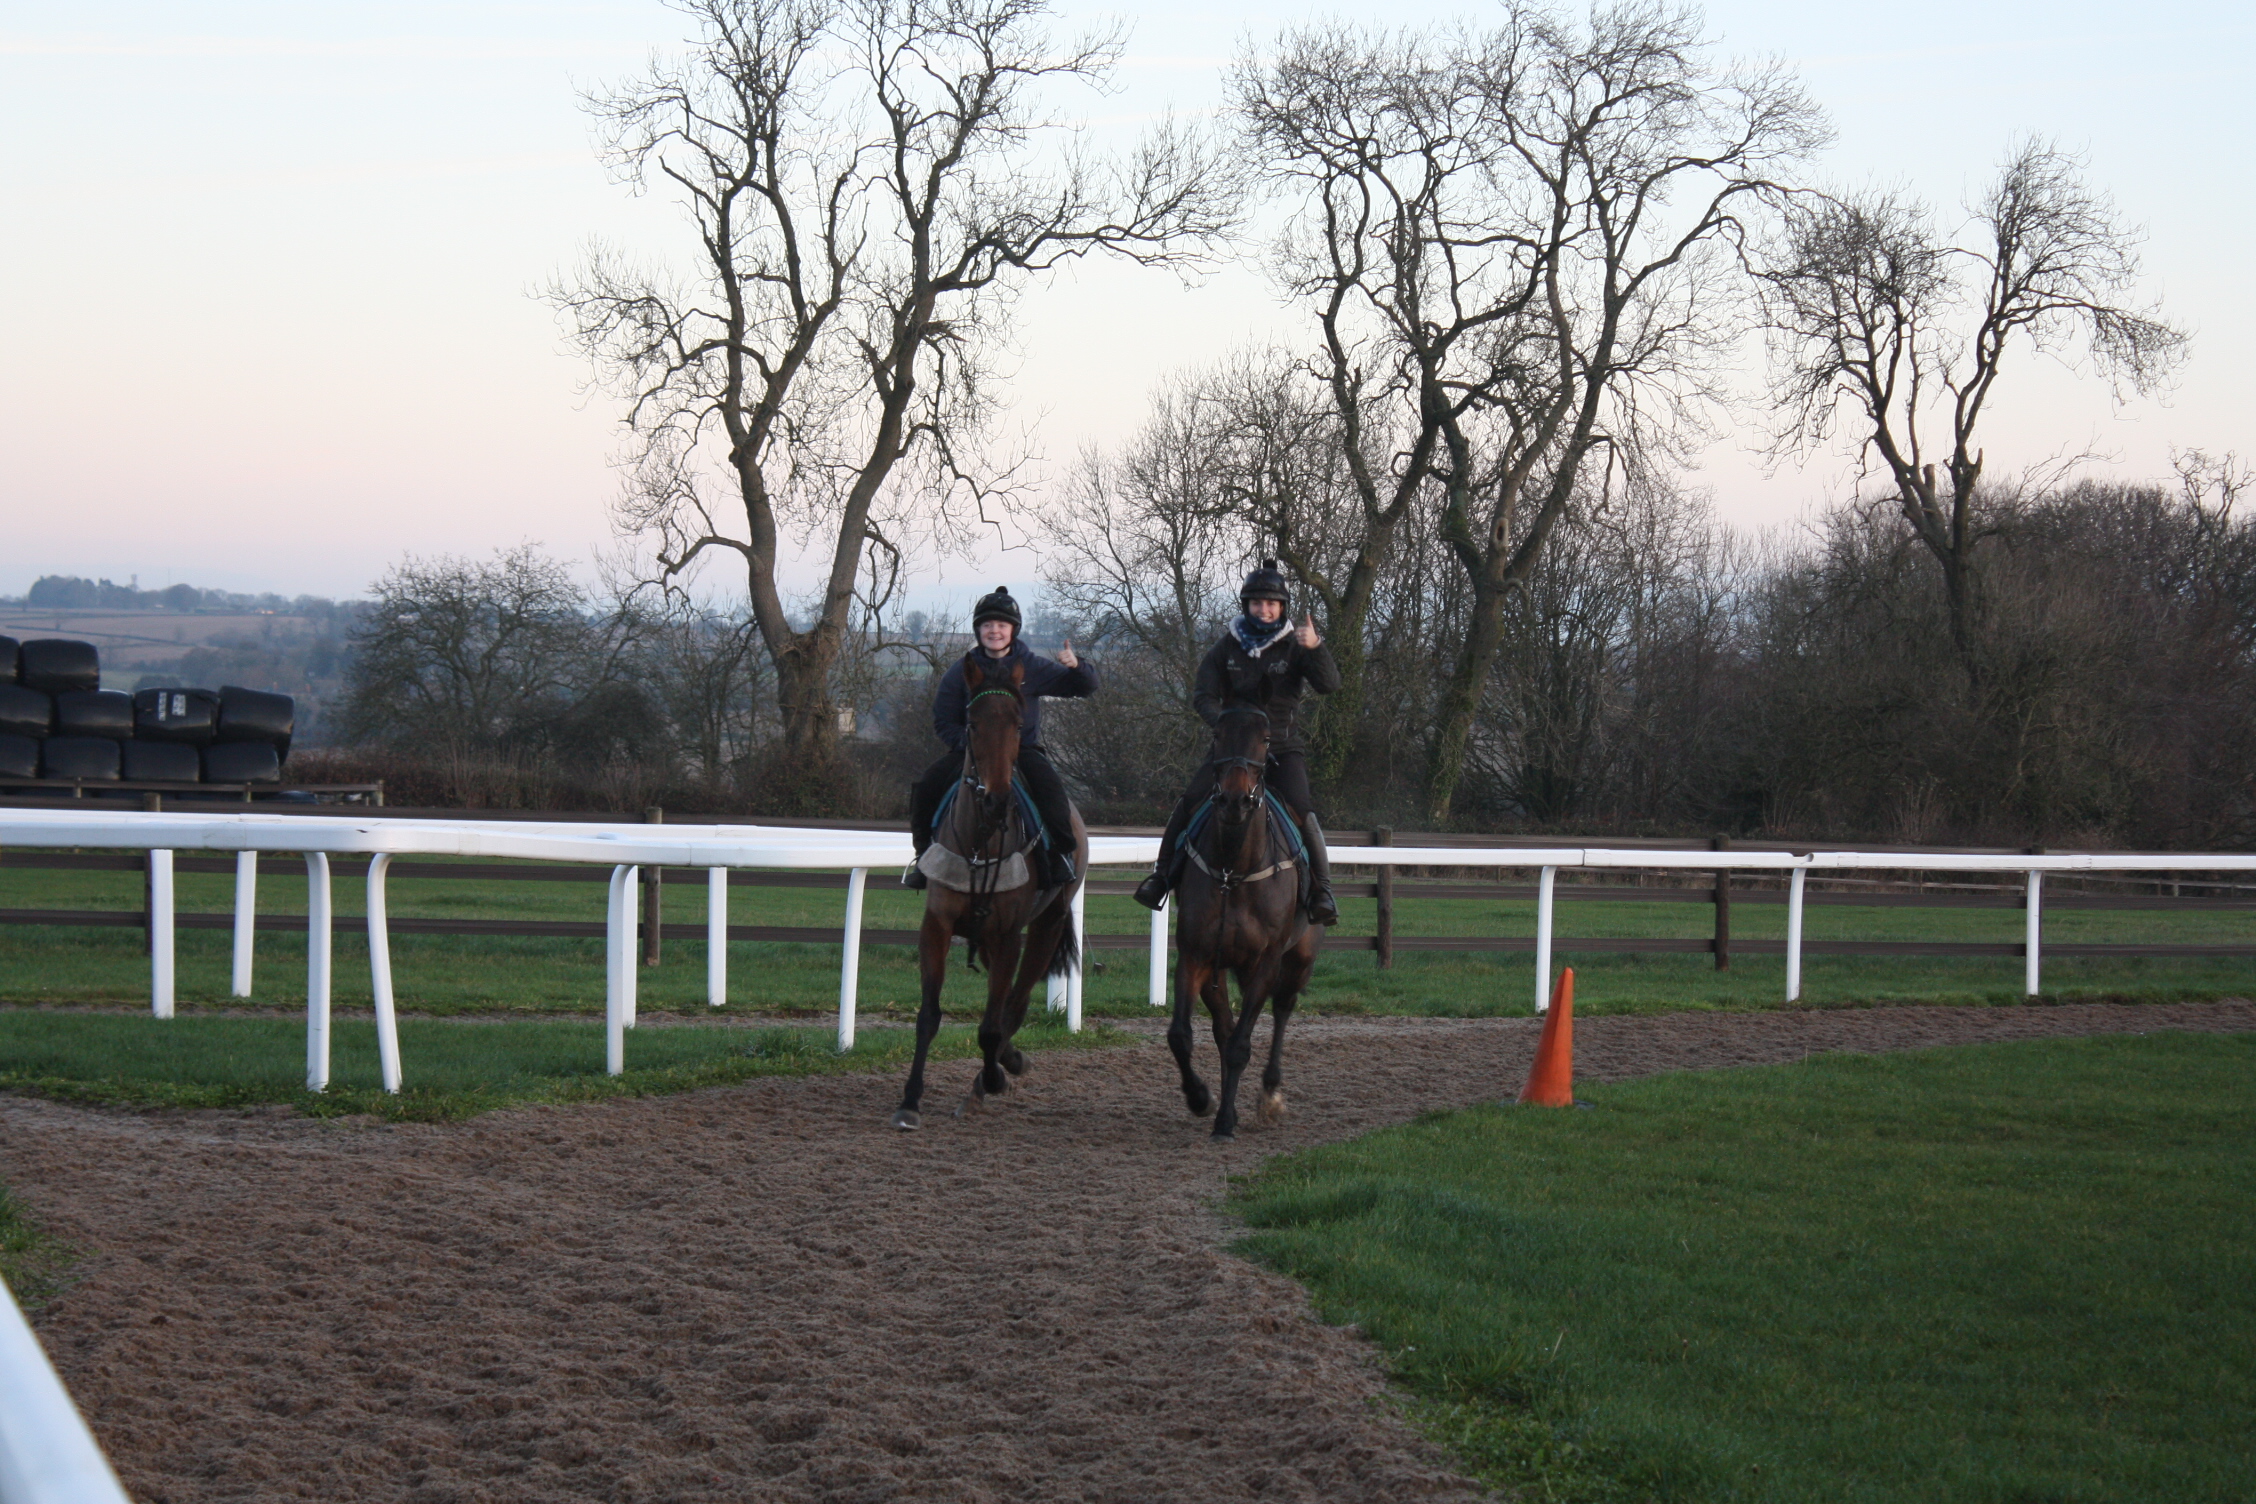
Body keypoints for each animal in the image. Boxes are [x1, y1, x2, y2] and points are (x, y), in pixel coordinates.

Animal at [888, 658, 1082, 1127]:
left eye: (1017, 724)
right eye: (972, 724)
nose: (995, 800)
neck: (980, 843)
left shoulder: (1010, 935)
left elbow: (992, 1025)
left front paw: (992, 1079)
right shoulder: (937, 925)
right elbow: (929, 1015)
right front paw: (910, 1100)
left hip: (1047, 926)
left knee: (1015, 1002)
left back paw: (992, 1076)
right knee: (1007, 1002)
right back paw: (1005, 1062)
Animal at [1173, 708, 1317, 1140]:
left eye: (1266, 739)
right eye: (1217, 735)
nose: (1235, 800)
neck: (1232, 871)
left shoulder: (1266, 961)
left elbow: (1241, 1044)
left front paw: (1224, 1120)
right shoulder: (1195, 956)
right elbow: (1183, 1036)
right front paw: (1202, 1098)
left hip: (1299, 959)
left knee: (1283, 1007)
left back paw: (1270, 1092)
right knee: (1224, 1025)